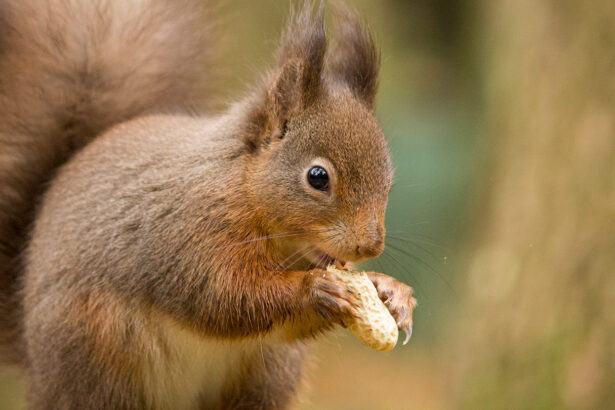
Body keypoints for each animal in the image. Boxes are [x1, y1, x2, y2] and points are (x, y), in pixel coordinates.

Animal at [0, 0, 418, 410]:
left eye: (389, 180)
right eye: (318, 177)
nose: (370, 246)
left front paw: (392, 292)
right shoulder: (188, 233)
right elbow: (221, 295)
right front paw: (315, 289)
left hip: (267, 374)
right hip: (97, 352)